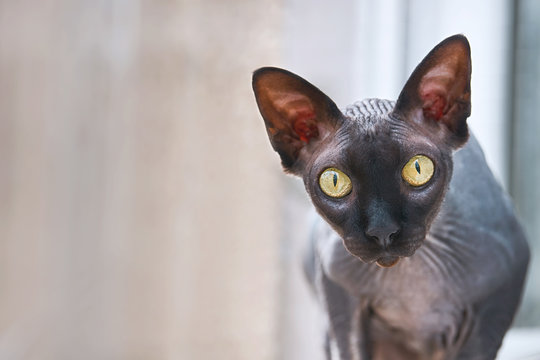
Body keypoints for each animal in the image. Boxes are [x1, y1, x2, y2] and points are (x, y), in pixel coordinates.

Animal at [252, 34, 528, 360]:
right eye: (334, 181)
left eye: (418, 169)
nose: (382, 231)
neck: (412, 285)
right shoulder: (341, 300)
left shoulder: (495, 303)